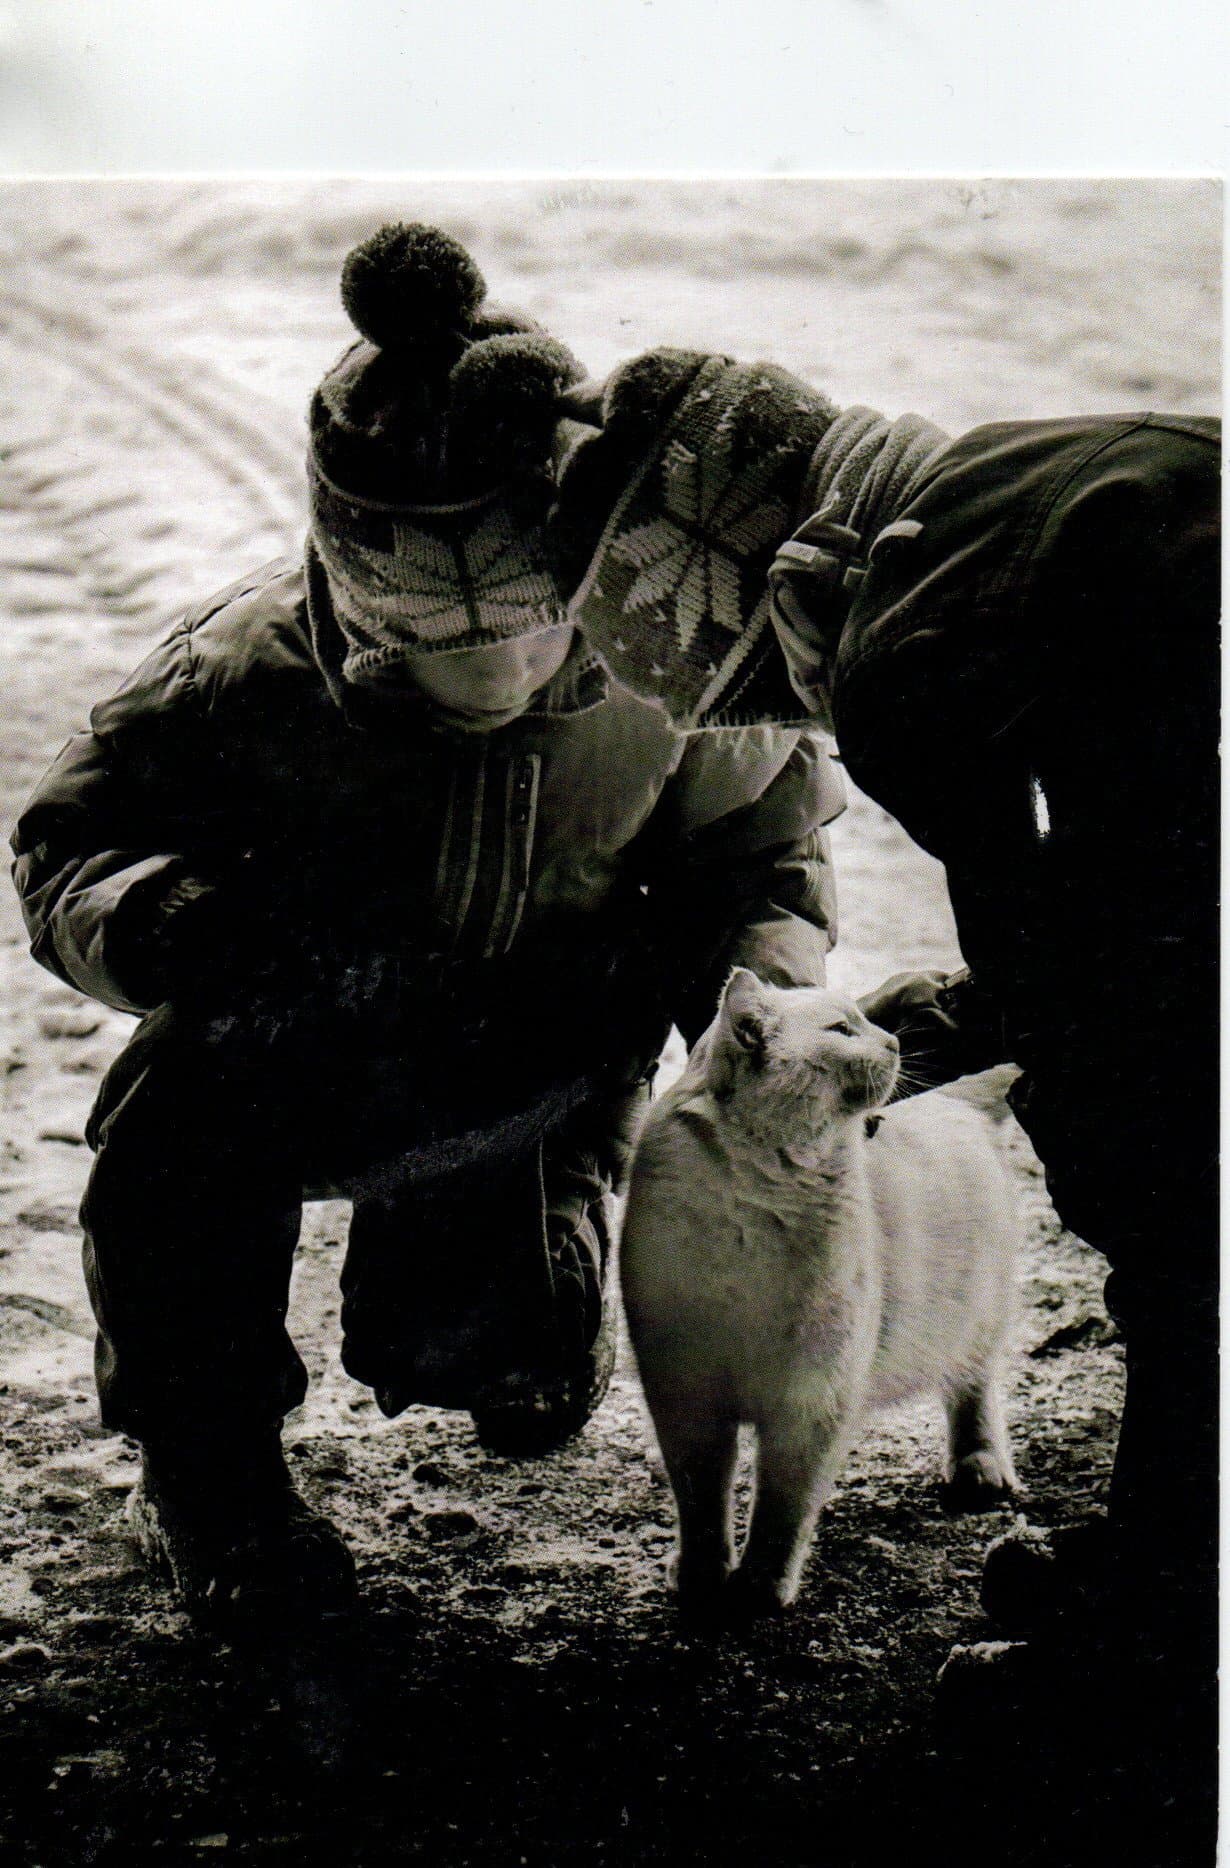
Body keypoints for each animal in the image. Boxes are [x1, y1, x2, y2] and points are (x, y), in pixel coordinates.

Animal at [619, 968, 1019, 1620]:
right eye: (841, 1029)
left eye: (862, 1021)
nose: (894, 1041)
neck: (752, 1213)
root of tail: (958, 1099)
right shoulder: (685, 1394)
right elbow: (701, 1499)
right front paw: (702, 1578)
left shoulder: (811, 1398)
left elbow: (782, 1508)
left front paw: (759, 1588)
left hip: (974, 1319)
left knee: (974, 1393)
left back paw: (979, 1469)